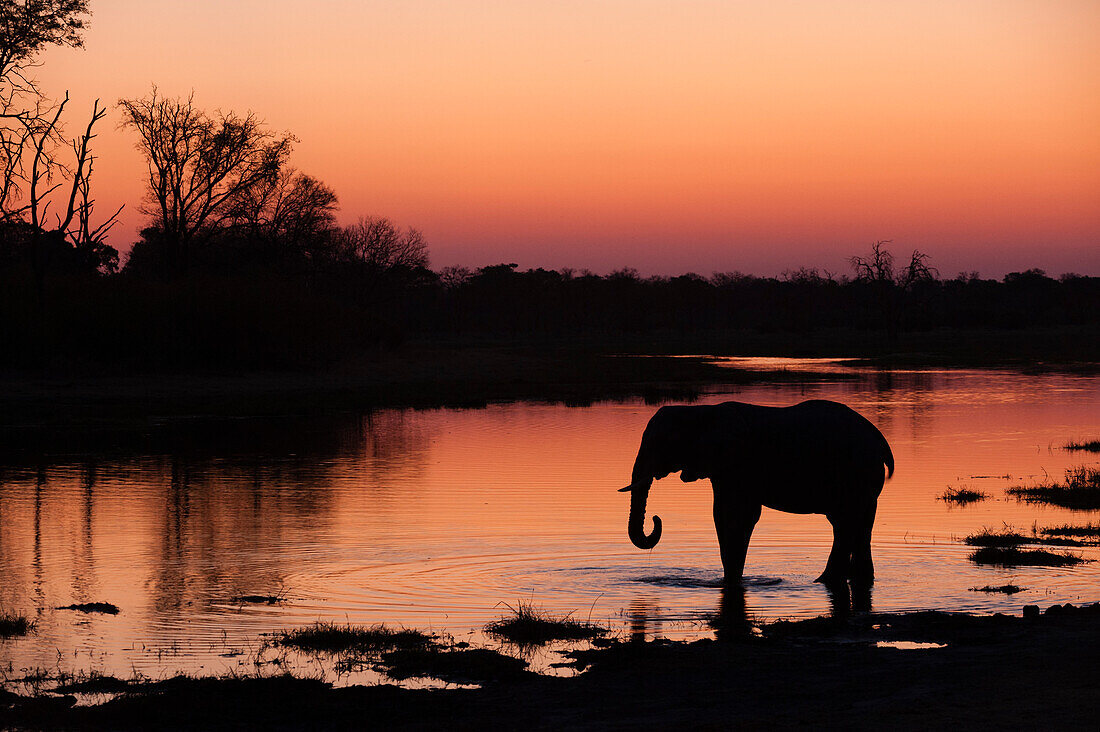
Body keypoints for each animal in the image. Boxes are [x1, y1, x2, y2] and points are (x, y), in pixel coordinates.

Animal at [620, 396, 893, 585]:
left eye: (660, 443)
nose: (656, 518)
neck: (702, 412)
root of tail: (879, 439)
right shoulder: (721, 468)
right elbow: (722, 515)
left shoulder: (739, 463)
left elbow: (736, 516)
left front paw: (731, 582)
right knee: (855, 525)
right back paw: (855, 579)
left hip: (856, 472)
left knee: (847, 523)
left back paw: (825, 581)